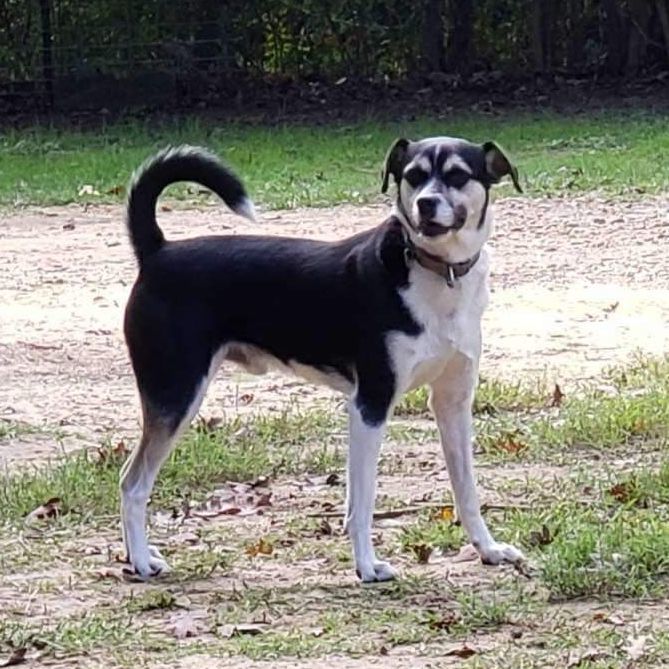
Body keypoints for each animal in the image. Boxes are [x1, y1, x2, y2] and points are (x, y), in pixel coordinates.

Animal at [121, 136, 528, 580]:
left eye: (456, 175)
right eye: (413, 176)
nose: (425, 203)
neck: (437, 273)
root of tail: (157, 252)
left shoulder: (452, 402)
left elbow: (467, 491)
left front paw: (488, 549)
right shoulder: (370, 405)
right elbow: (363, 502)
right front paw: (367, 566)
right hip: (175, 395)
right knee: (132, 483)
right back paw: (140, 560)